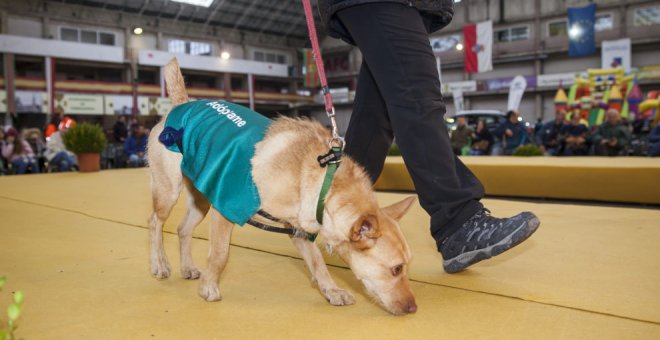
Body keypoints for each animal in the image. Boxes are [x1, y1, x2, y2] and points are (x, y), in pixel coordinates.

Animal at [150, 58, 418, 316]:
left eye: (406, 266)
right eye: (396, 269)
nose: (413, 309)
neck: (322, 181)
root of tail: (181, 105)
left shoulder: (299, 229)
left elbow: (318, 262)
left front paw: (331, 290)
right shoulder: (225, 209)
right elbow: (219, 254)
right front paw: (209, 288)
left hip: (201, 200)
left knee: (183, 229)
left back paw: (187, 267)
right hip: (168, 192)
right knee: (155, 222)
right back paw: (160, 264)